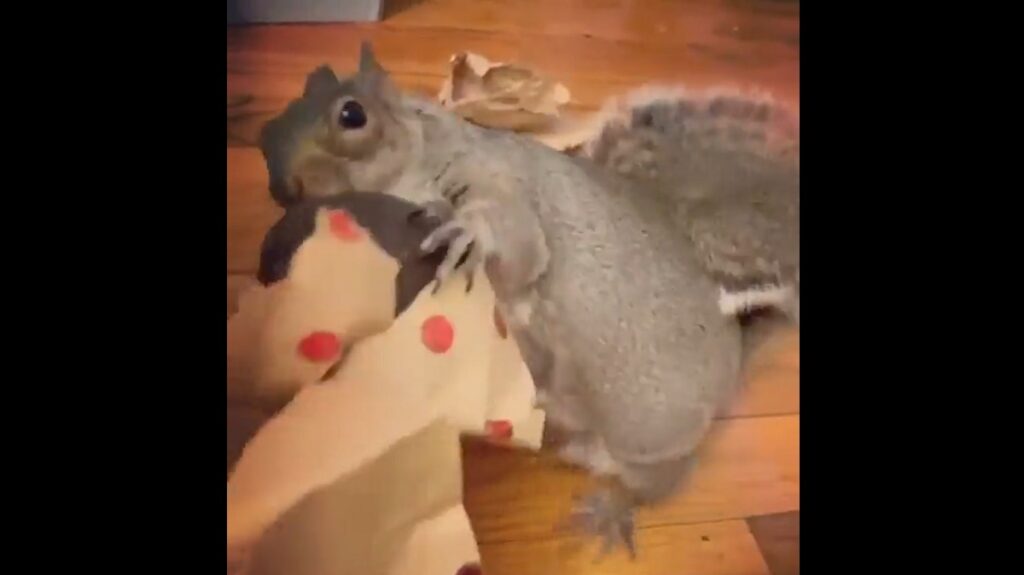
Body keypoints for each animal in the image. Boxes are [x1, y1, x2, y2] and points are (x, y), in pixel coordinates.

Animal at [258, 41, 798, 556]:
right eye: (265, 129)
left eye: (352, 115)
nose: (283, 188)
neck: (425, 147)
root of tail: (734, 358)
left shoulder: (500, 183)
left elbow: (520, 249)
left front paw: (464, 230)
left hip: (648, 439)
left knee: (659, 482)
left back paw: (611, 512)